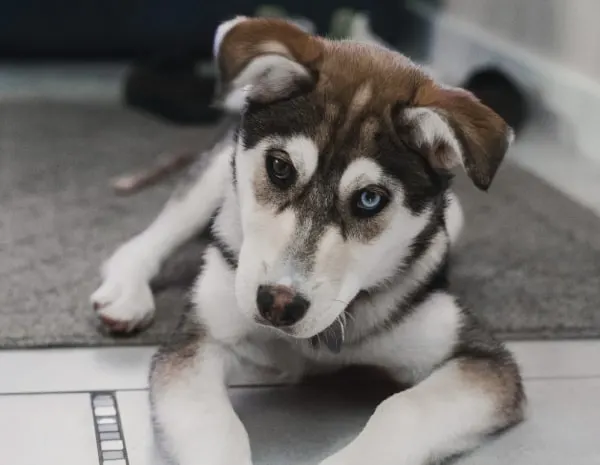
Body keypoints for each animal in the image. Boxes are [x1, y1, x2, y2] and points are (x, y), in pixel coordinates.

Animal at [90, 16, 524, 462]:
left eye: (370, 199)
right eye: (280, 167)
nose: (278, 304)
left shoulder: (479, 358)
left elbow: (404, 408)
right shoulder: (198, 343)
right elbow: (214, 424)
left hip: (455, 216)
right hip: (214, 182)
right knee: (145, 241)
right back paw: (127, 295)